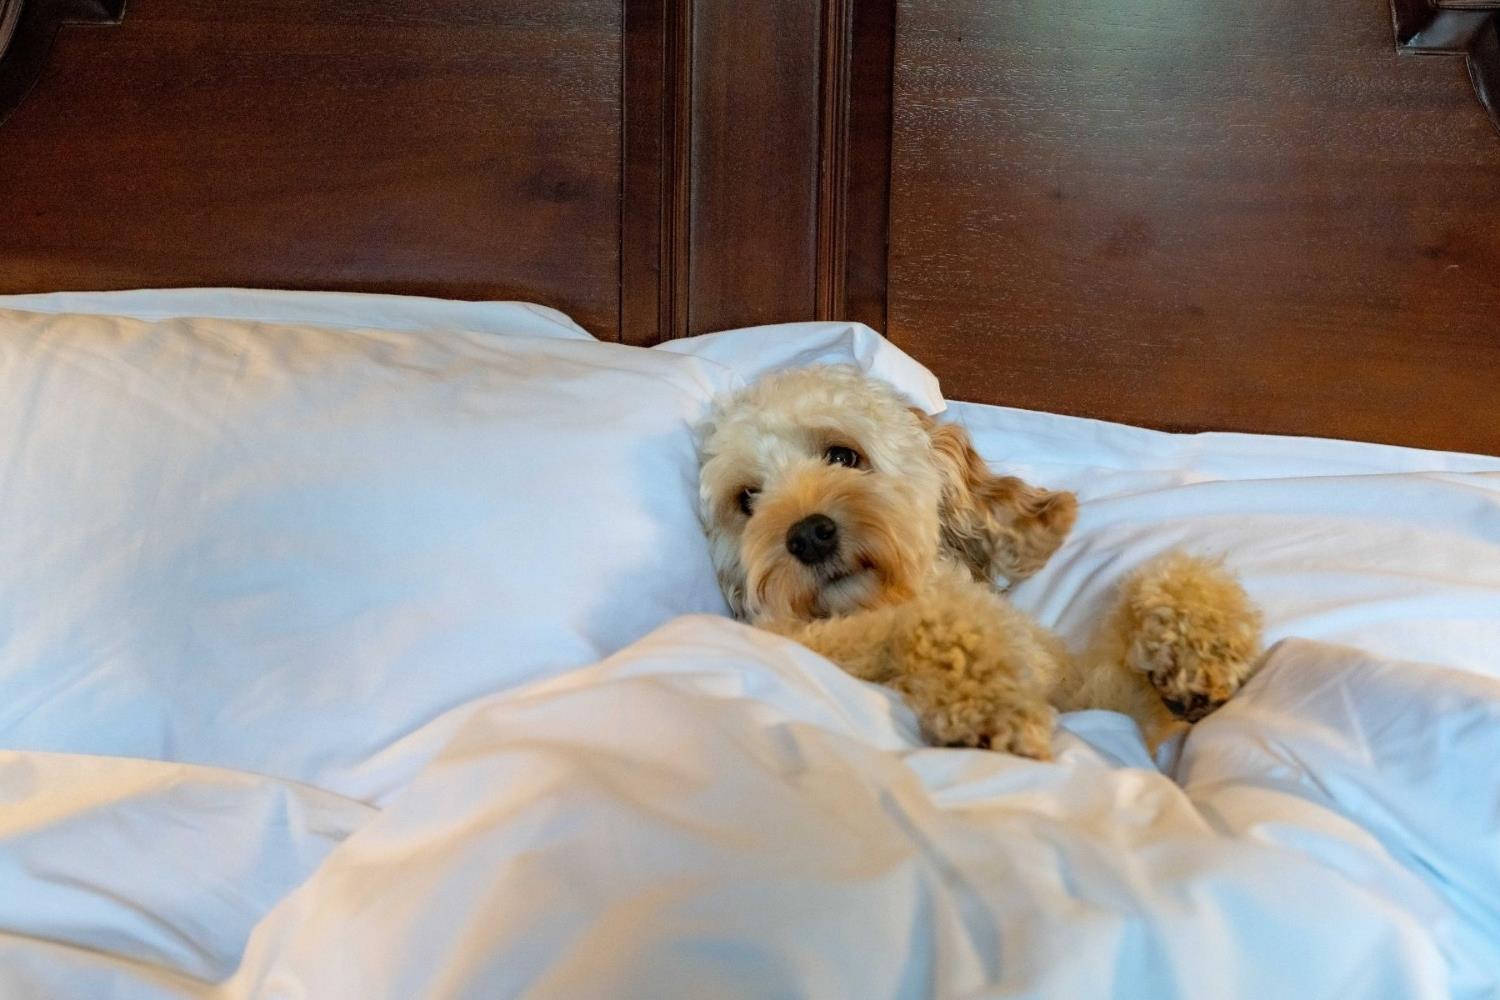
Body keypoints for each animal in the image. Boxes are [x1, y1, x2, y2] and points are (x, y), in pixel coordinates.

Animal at [696, 367, 1260, 758]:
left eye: (843, 455)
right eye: (748, 499)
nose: (808, 537)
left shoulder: (1094, 700)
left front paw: (1199, 648)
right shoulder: (812, 639)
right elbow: (926, 629)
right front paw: (994, 708)